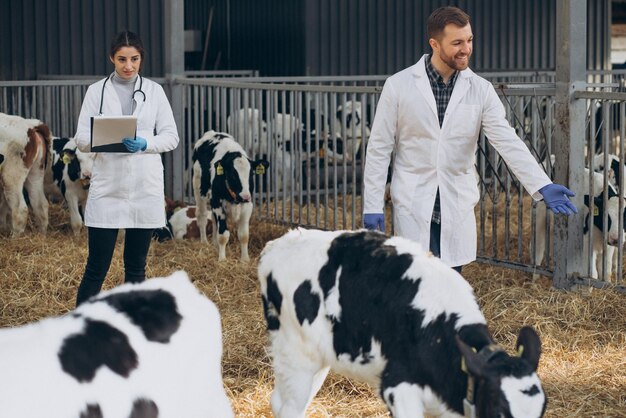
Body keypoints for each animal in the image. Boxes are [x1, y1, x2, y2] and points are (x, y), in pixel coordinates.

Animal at [190, 131, 268, 262]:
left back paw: (214, 244)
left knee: (213, 219)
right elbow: (223, 235)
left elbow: (244, 235)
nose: (245, 196)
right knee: (202, 215)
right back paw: (204, 242)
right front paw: (222, 259)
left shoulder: (247, 207)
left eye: (251, 174)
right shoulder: (218, 205)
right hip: (198, 188)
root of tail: (212, 133)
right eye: (232, 174)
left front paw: (245, 259)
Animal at [256, 229, 544, 418]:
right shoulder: (398, 387)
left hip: (320, 355)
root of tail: (279, 244)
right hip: (296, 353)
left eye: (542, 410)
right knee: (289, 408)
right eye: (500, 413)